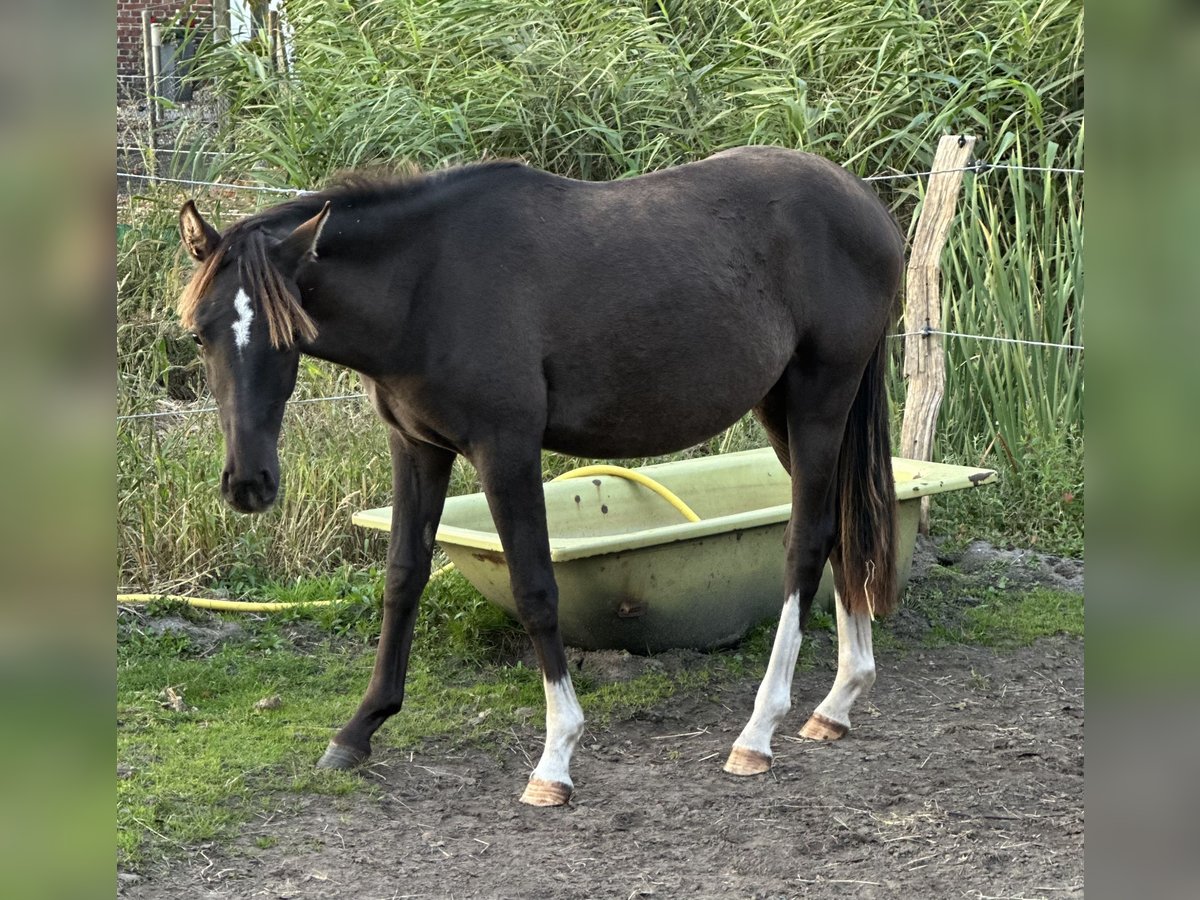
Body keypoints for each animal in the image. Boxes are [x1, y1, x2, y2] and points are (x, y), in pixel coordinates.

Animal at [177, 146, 905, 806]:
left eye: (286, 333)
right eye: (200, 334)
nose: (248, 483)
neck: (429, 283)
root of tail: (866, 205)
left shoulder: (506, 450)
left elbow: (535, 591)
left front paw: (555, 758)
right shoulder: (417, 448)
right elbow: (403, 578)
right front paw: (358, 731)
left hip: (818, 403)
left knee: (805, 543)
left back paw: (758, 731)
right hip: (783, 411)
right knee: (840, 530)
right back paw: (837, 703)